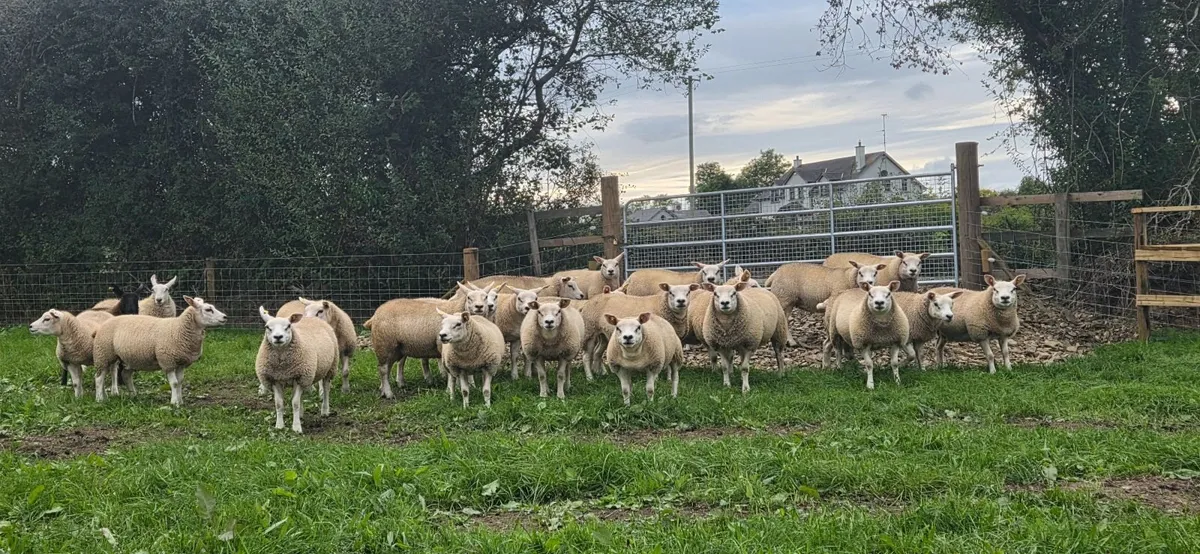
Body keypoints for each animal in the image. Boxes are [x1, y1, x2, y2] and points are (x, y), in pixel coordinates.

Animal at [92, 296, 227, 405]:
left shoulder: (181, 362)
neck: (178, 328)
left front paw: (180, 401)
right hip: (103, 353)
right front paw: (174, 403)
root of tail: (102, 325)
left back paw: (132, 395)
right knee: (99, 378)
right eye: (208, 309)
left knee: (125, 375)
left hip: (130, 357)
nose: (225, 317)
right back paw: (99, 399)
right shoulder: (167, 361)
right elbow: (174, 383)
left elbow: (180, 382)